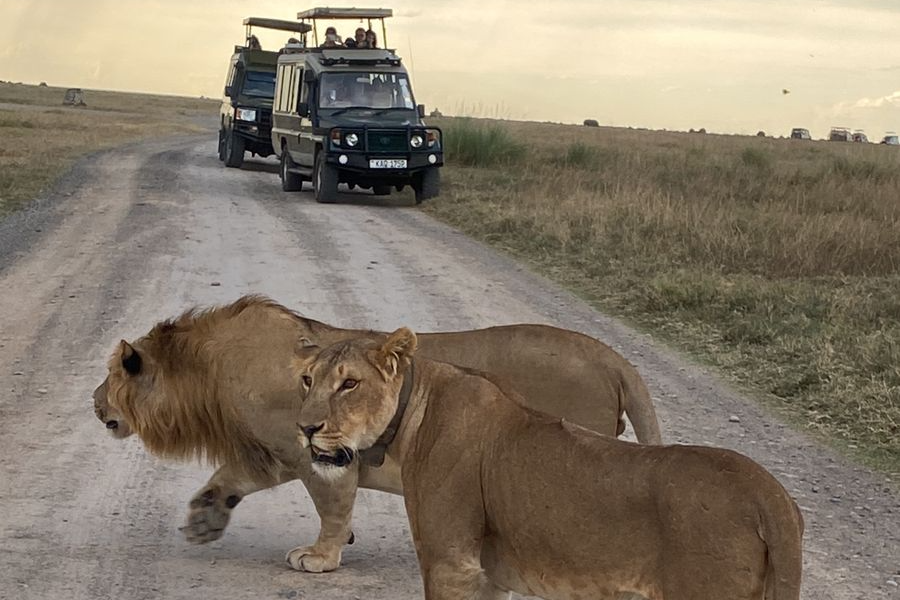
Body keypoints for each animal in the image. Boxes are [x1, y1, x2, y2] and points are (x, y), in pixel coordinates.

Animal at [95, 296, 660, 572]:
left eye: (112, 374)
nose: (94, 402)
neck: (209, 373)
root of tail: (611, 356)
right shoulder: (276, 453)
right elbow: (229, 478)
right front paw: (204, 520)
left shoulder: (319, 455)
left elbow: (331, 509)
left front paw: (321, 558)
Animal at [298, 328, 804, 600]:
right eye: (306, 380)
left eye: (349, 384)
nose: (305, 428)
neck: (411, 415)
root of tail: (771, 496)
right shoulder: (485, 574)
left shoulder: (450, 561)